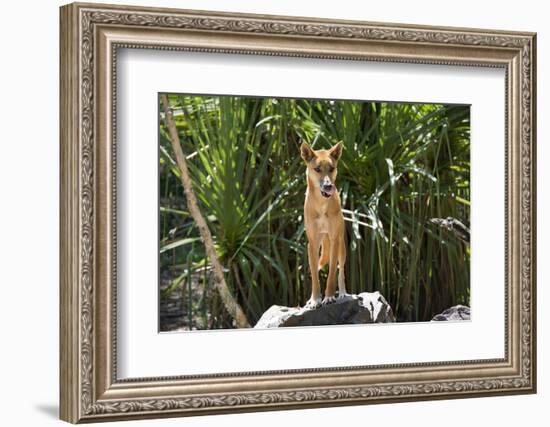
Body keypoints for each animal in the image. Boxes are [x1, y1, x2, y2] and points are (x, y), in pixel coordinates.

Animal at [302, 142, 350, 310]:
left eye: (332, 168)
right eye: (317, 169)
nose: (329, 186)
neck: (322, 205)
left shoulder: (335, 240)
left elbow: (331, 274)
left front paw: (328, 297)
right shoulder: (312, 244)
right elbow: (315, 276)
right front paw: (314, 299)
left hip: (341, 247)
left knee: (341, 272)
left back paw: (342, 293)